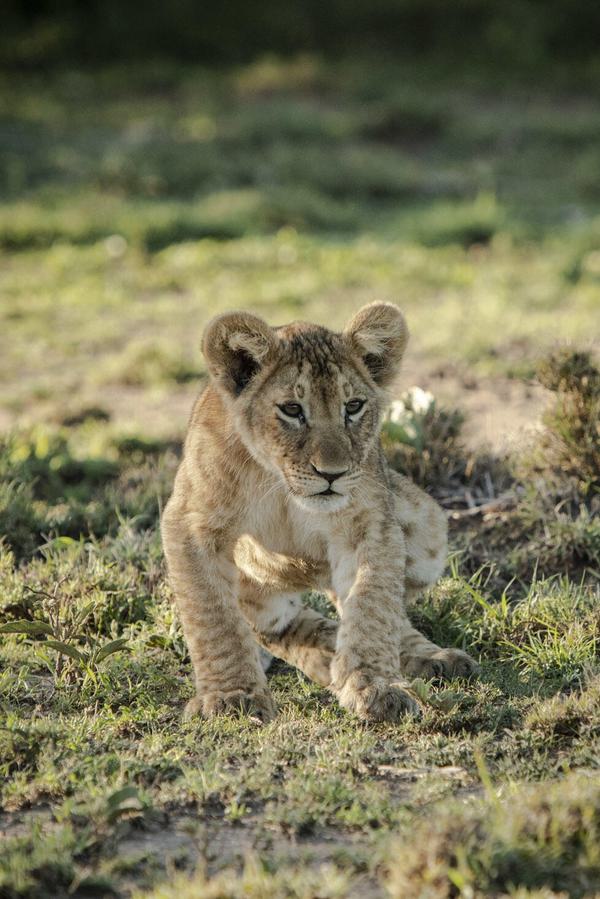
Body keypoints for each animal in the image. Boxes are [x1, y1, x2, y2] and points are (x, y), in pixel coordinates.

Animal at [161, 302, 478, 723]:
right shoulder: (191, 523)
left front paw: (374, 686)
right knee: (278, 627)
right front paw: (232, 697)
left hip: (429, 524)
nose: (332, 473)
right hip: (257, 590)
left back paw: (430, 659)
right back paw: (328, 665)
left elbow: (373, 605)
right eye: (292, 409)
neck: (281, 486)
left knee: (389, 614)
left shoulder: (369, 522)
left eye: (353, 407)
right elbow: (213, 616)